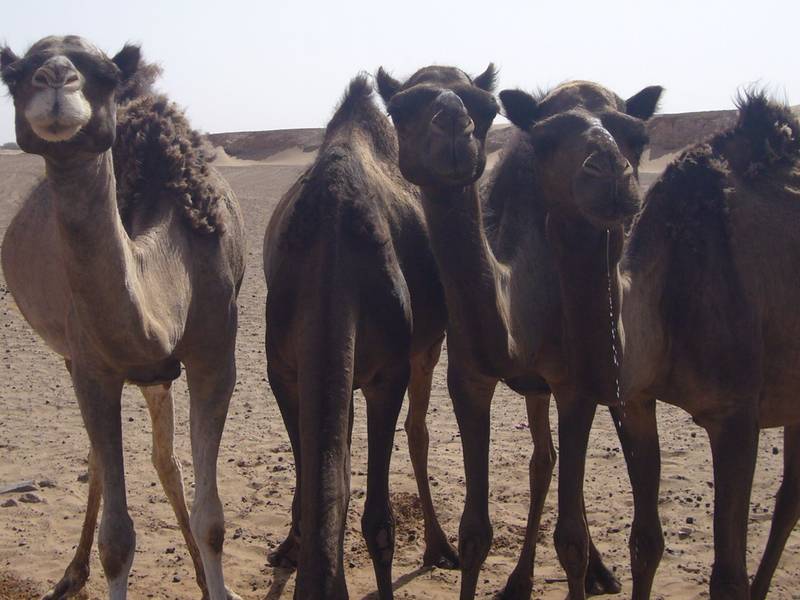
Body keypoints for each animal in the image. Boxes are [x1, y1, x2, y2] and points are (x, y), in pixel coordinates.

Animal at [264, 75, 456, 600]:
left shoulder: (387, 374)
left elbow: (379, 523)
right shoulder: (282, 371)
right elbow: (313, 487)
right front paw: (291, 546)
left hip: (426, 347)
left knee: (418, 430)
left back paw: (441, 547)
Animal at [376, 68, 664, 596]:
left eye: (485, 108)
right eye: (400, 109)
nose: (455, 124)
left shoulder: (574, 386)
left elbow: (570, 538)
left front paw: (586, 565)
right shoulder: (469, 378)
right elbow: (474, 531)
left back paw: (597, 571)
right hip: (536, 387)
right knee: (543, 460)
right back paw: (523, 579)